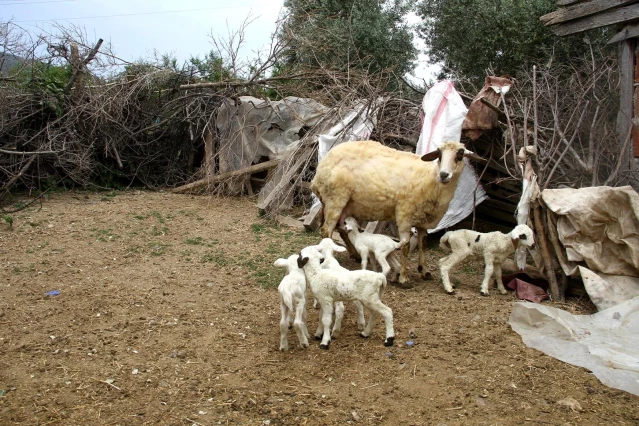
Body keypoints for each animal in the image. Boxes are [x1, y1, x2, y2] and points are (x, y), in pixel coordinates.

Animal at [312, 140, 484, 286]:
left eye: (460, 155)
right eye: (439, 155)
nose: (444, 175)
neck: (431, 179)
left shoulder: (423, 220)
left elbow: (423, 243)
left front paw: (425, 271)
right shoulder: (404, 215)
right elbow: (406, 246)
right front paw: (403, 278)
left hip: (346, 205)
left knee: (341, 230)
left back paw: (354, 254)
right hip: (335, 199)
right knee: (327, 230)